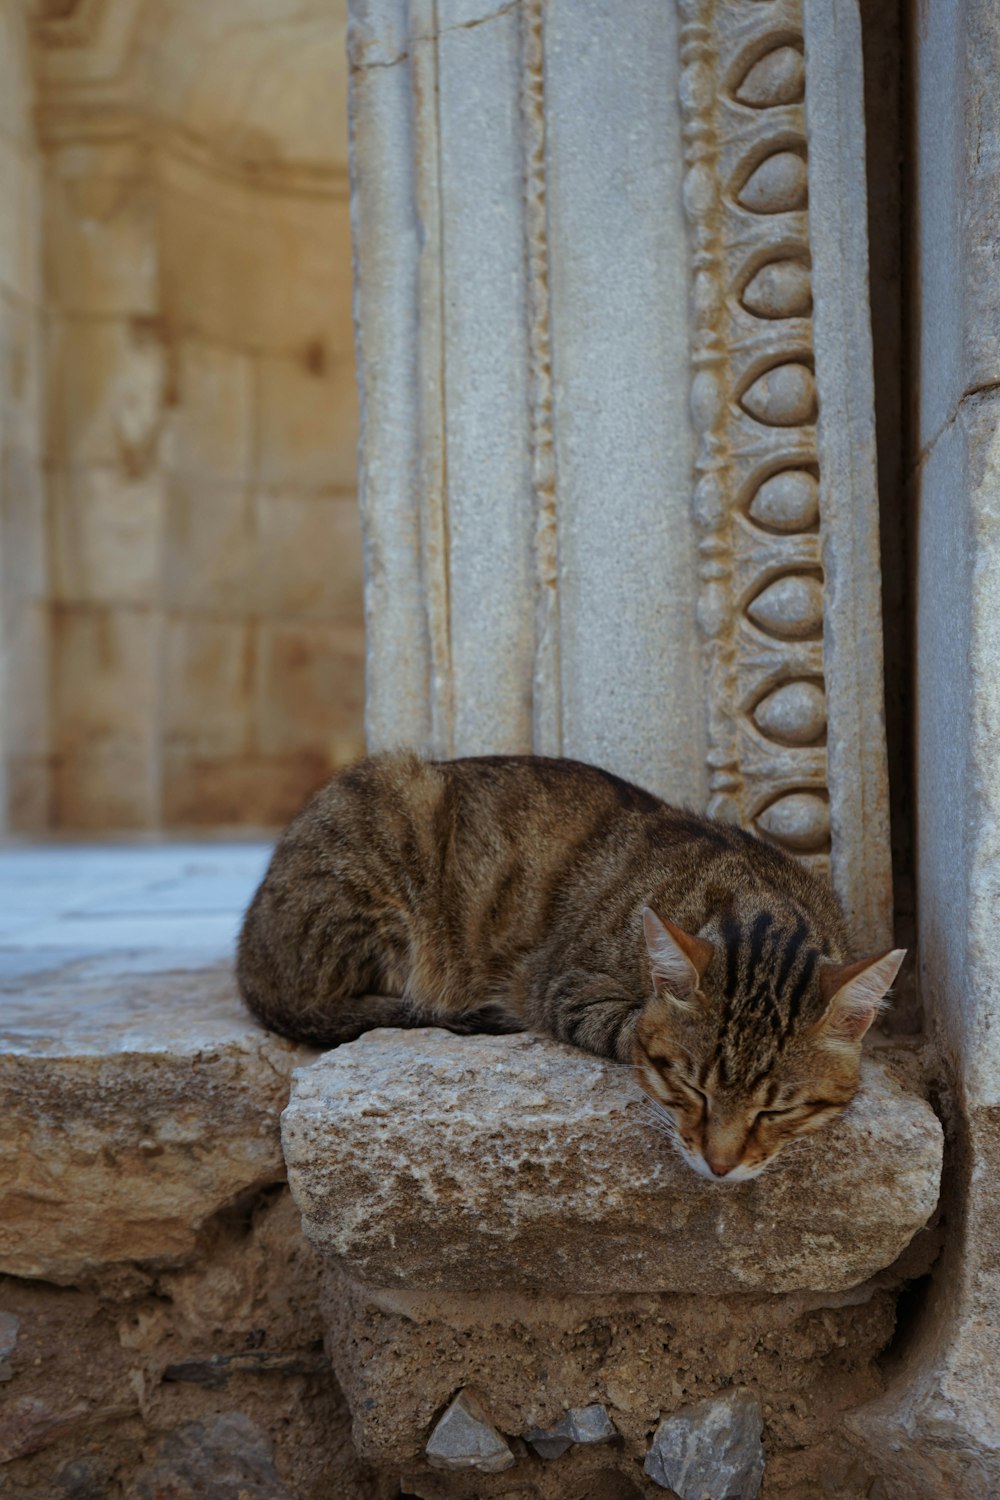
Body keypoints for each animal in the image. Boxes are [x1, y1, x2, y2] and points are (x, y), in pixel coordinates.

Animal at [238, 750, 905, 1182]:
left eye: (778, 1110)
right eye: (693, 1088)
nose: (720, 1166)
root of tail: (247, 955)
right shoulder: (566, 989)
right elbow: (631, 1028)